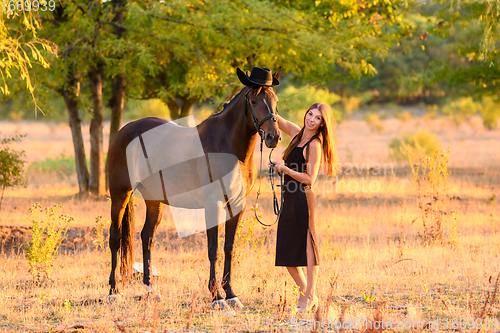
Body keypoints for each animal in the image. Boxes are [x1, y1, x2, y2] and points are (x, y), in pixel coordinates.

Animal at [106, 68, 282, 308]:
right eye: (254, 101)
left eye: (275, 101)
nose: (274, 137)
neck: (227, 147)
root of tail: (123, 131)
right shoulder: (213, 204)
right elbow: (213, 249)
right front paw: (216, 297)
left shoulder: (237, 205)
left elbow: (229, 248)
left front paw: (231, 293)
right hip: (119, 195)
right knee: (115, 237)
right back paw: (113, 291)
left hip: (154, 200)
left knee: (146, 237)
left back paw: (151, 289)